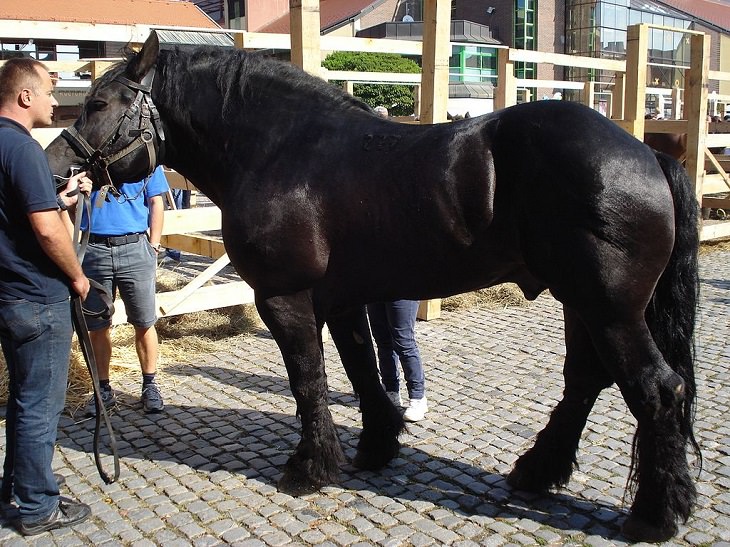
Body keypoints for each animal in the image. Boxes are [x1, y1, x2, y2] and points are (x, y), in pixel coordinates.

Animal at [47, 34, 700, 544]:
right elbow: (362, 371)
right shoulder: (341, 300)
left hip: (609, 309)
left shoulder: (285, 299)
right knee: (586, 382)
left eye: (99, 103)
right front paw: (376, 448)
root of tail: (645, 153)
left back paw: (654, 515)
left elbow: (309, 381)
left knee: (657, 390)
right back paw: (538, 473)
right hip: (582, 305)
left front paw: (309, 468)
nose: (58, 172)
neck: (280, 149)